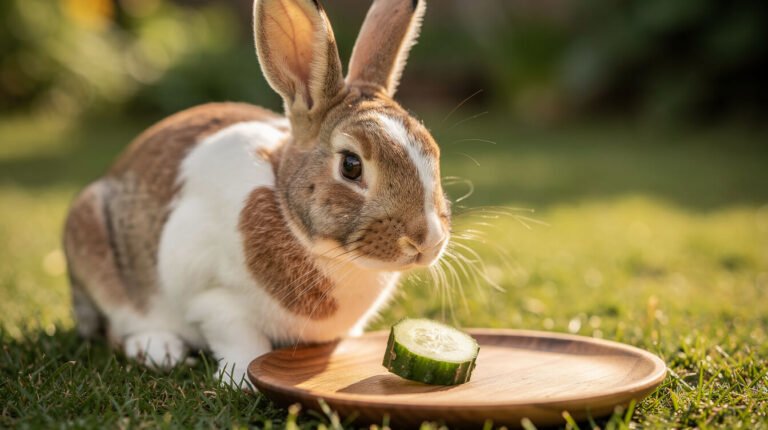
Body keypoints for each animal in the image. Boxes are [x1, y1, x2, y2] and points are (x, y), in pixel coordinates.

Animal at [63, 0, 450, 386]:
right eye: (351, 165)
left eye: (434, 152)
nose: (428, 240)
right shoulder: (215, 300)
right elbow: (242, 341)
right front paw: (242, 379)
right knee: (118, 325)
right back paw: (159, 349)